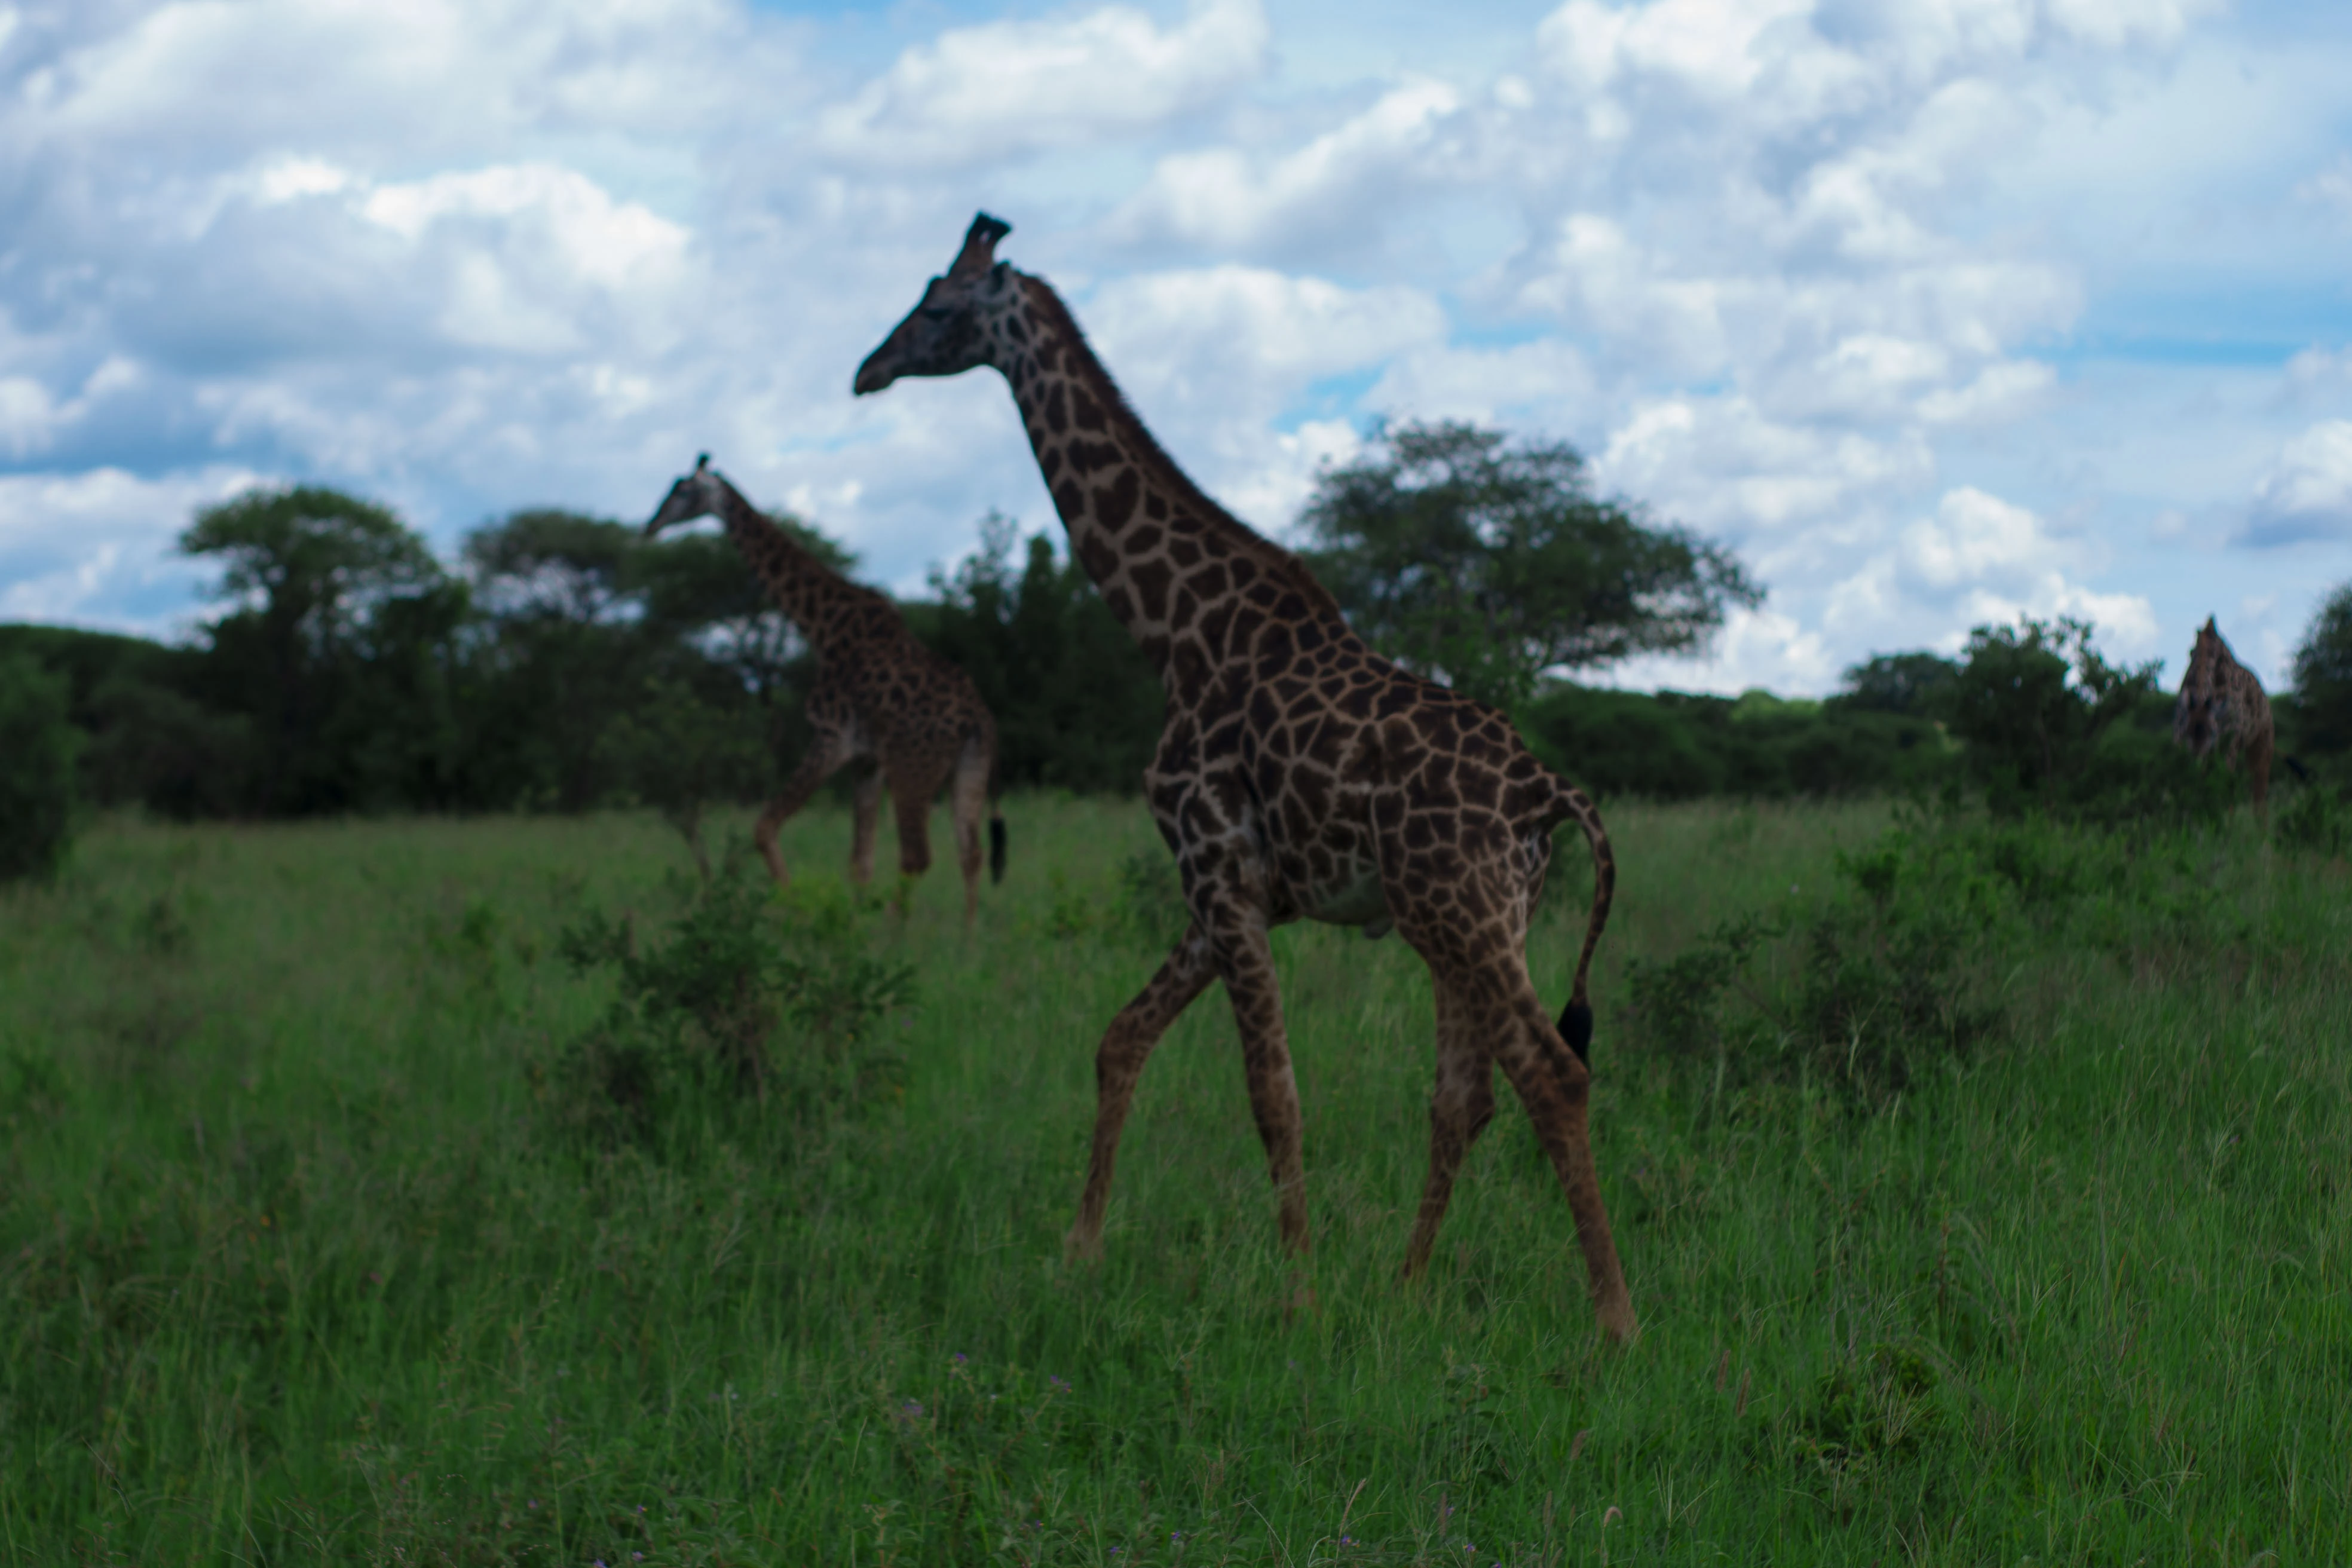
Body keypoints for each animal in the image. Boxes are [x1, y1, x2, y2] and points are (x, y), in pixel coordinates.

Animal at [649, 454, 1006, 921]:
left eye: (682, 490)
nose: (650, 524)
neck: (822, 624)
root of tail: (976, 719)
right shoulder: (868, 760)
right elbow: (860, 861)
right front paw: (849, 921)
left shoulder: (831, 738)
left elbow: (764, 827)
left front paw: (796, 908)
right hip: (970, 765)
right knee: (971, 854)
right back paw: (965, 938)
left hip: (914, 768)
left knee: (917, 856)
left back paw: (894, 934)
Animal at [856, 212, 1646, 1354]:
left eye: (936, 306)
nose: (865, 370)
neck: (1177, 633)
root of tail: (1551, 800)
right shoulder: (1230, 889)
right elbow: (1121, 1039)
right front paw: (1080, 1252)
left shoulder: (1217, 869)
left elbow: (1271, 1091)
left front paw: (1298, 1295)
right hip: (1473, 918)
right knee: (1464, 1096)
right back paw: (1405, 1289)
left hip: (1460, 913)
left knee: (1550, 1074)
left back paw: (1615, 1321)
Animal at [2173, 611, 2267, 818]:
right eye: (2188, 732)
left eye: (2212, 732)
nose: (2197, 758)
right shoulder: (2179, 736)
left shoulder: (2229, 742)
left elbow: (2225, 783)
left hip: (2261, 743)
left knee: (2258, 793)